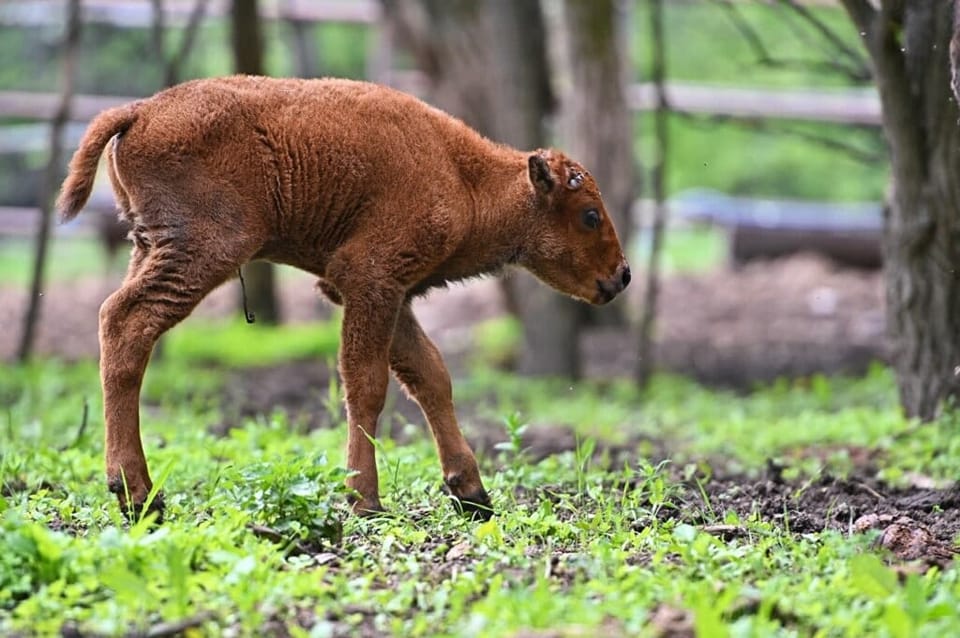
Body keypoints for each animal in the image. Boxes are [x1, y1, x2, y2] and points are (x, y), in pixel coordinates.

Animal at [58, 76, 632, 524]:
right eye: (589, 214)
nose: (622, 276)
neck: (462, 174)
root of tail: (140, 110)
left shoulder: (392, 295)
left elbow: (432, 378)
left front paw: (472, 495)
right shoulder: (368, 281)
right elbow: (368, 385)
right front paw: (365, 501)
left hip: (149, 246)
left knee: (117, 322)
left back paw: (140, 497)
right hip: (203, 252)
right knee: (126, 323)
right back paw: (138, 495)